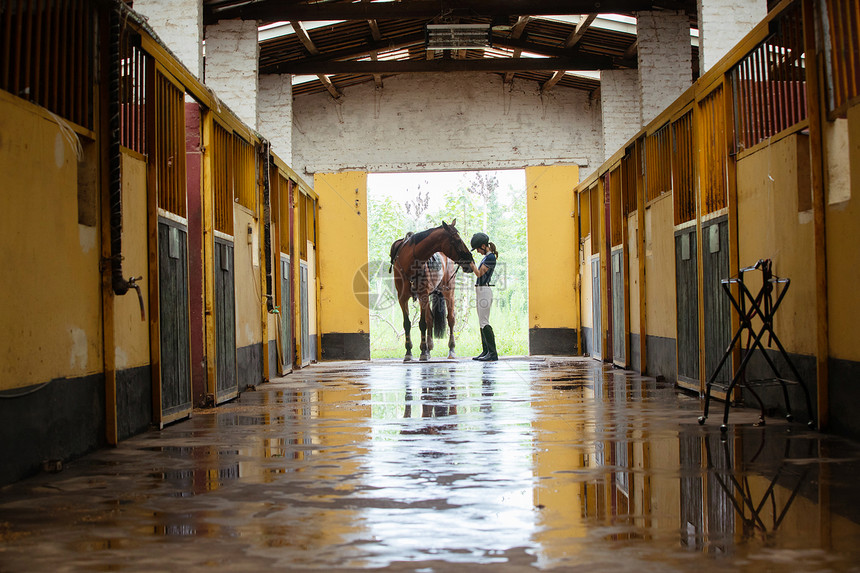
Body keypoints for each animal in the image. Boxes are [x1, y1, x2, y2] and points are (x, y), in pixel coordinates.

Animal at [392, 220, 478, 362]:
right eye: (457, 240)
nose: (470, 262)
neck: (409, 262)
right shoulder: (402, 298)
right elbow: (407, 324)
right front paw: (409, 352)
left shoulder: (423, 295)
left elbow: (422, 323)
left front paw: (422, 351)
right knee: (430, 318)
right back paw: (428, 349)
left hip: (448, 291)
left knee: (451, 319)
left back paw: (451, 349)